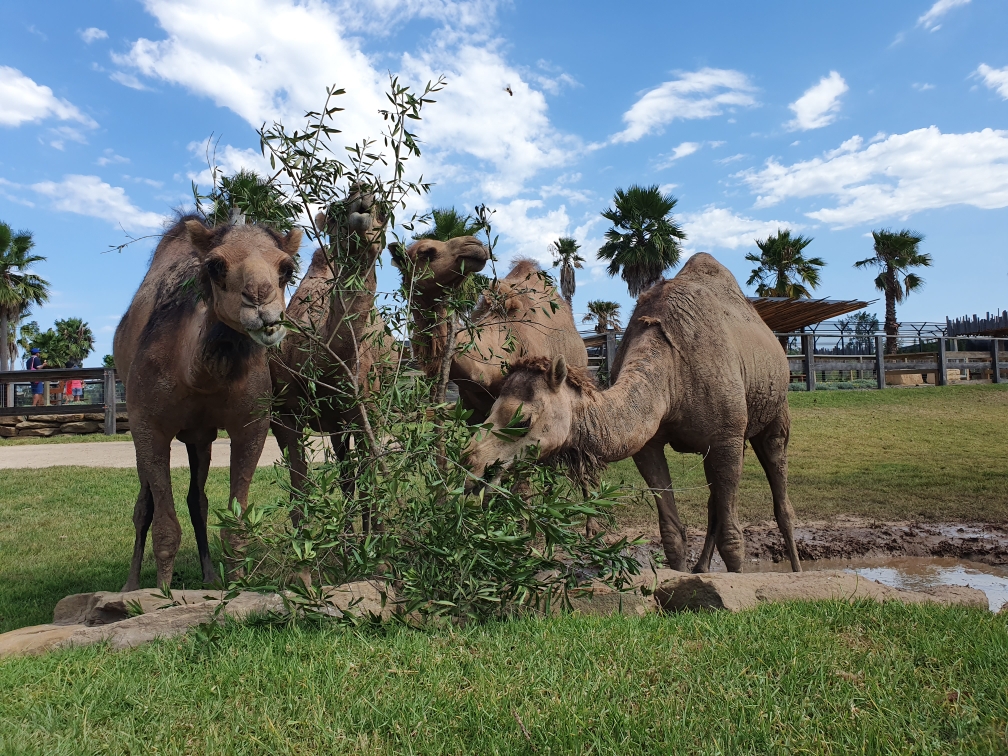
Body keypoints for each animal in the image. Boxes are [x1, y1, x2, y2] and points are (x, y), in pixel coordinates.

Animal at [463, 253, 802, 572]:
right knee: (714, 505)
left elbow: (733, 539)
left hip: (773, 415)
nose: (471, 461)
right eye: (490, 410)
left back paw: (796, 567)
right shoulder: (650, 446)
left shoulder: (726, 437)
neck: (673, 378)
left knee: (781, 500)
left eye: (524, 419)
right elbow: (672, 534)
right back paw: (702, 567)